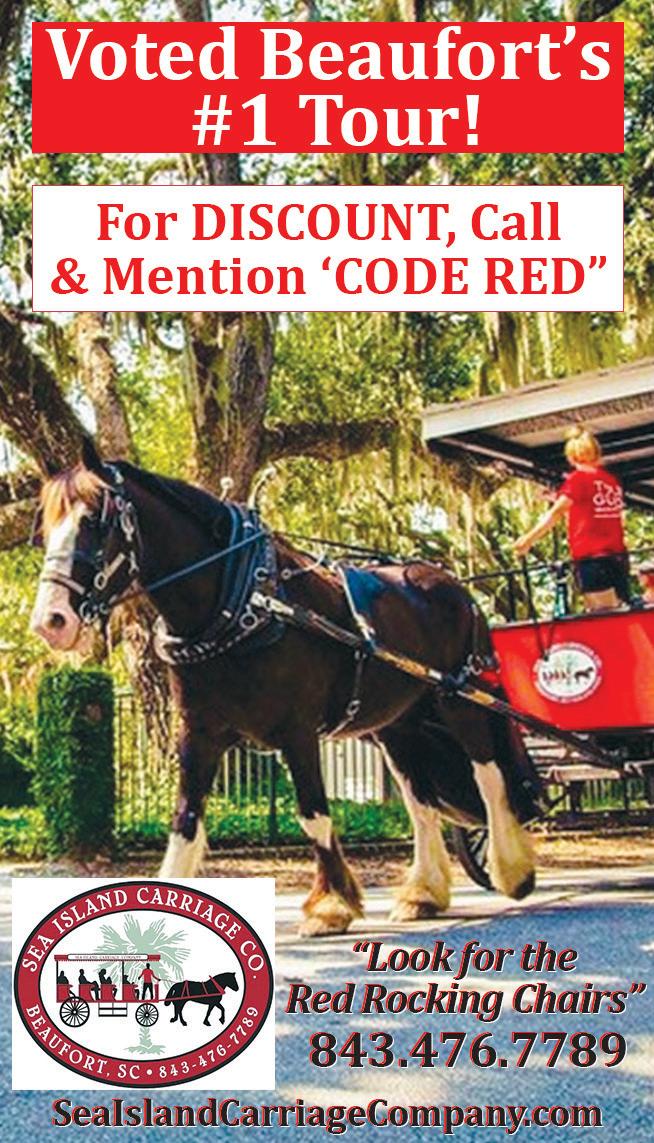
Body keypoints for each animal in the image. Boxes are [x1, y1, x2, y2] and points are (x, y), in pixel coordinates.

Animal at [30, 439, 540, 936]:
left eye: (94, 521)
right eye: (45, 530)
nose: (51, 621)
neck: (239, 603)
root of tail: (453, 585)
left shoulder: (298, 731)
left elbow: (313, 815)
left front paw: (330, 906)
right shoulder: (199, 734)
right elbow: (185, 820)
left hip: (461, 699)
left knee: (489, 775)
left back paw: (512, 870)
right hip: (399, 725)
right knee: (422, 802)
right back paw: (423, 893)